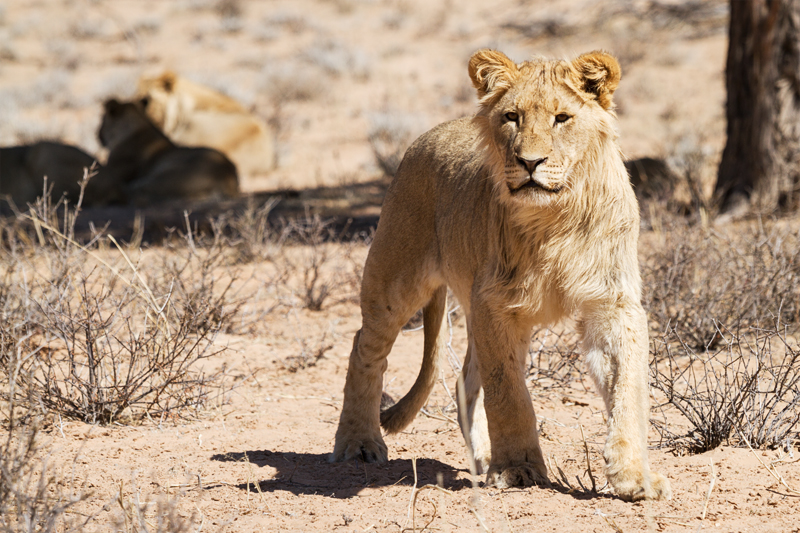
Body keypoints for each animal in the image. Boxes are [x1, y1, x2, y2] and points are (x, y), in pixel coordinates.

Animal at [92, 98, 239, 206]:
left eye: (102, 119)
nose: (97, 135)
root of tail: (228, 175)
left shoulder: (114, 168)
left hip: (168, 176)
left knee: (134, 190)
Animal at [331, 49, 671, 502]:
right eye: (512, 117)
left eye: (562, 118)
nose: (530, 162)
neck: (554, 221)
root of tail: (430, 134)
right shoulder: (496, 304)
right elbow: (508, 393)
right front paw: (517, 469)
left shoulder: (611, 303)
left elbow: (628, 391)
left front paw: (634, 476)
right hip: (394, 281)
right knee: (364, 349)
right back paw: (358, 442)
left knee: (465, 380)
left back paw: (481, 458)